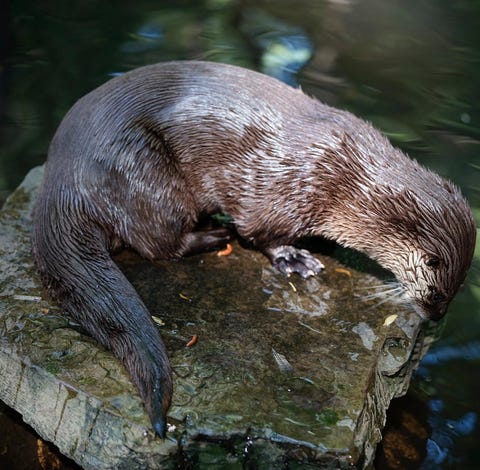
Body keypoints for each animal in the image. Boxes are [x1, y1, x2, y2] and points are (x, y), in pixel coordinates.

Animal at [31, 61, 478, 436]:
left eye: (457, 287)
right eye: (435, 277)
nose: (436, 314)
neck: (347, 182)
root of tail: (63, 177)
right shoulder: (285, 188)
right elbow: (259, 232)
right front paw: (294, 257)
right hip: (145, 173)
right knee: (158, 242)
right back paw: (212, 235)